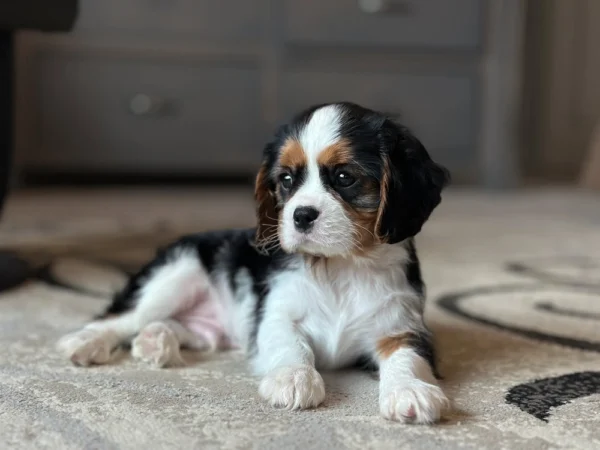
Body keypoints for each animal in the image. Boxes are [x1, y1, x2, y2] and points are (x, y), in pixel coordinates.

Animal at [58, 103, 450, 426]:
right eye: (287, 180)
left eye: (344, 177)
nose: (300, 215)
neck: (340, 266)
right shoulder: (275, 313)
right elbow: (290, 343)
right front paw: (293, 378)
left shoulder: (402, 325)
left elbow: (407, 357)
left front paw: (410, 391)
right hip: (175, 275)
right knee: (122, 318)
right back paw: (84, 342)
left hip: (206, 325)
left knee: (178, 328)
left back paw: (156, 342)